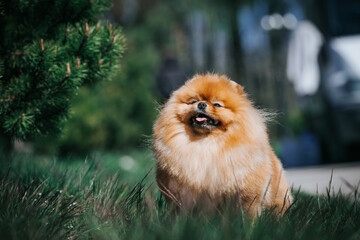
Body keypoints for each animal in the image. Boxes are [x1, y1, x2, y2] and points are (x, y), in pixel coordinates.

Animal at [153, 73, 292, 218]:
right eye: (193, 101)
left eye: (217, 104)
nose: (201, 104)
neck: (205, 143)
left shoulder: (248, 194)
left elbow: (248, 212)